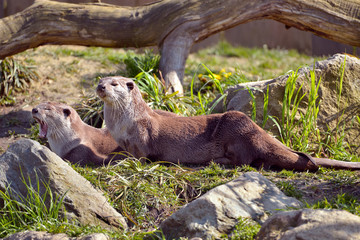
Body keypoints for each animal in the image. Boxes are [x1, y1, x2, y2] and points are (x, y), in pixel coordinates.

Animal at [96, 76, 360, 171]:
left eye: (115, 84)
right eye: (101, 80)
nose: (101, 86)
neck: (123, 124)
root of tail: (259, 132)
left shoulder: (142, 136)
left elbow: (140, 156)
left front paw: (120, 160)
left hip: (237, 127)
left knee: (245, 160)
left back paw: (218, 161)